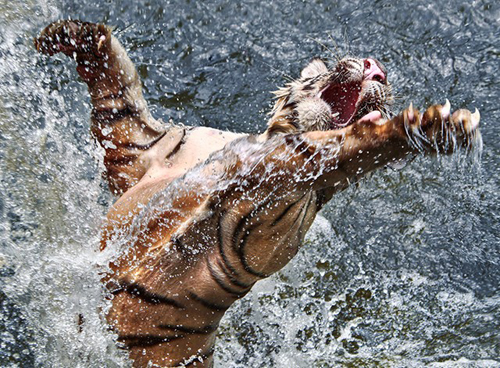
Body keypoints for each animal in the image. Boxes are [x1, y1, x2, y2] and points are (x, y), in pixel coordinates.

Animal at [35, 20, 480, 368]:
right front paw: (67, 35)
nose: (378, 68)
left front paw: (435, 124)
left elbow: (343, 148)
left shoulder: (290, 186)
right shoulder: (146, 151)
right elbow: (118, 94)